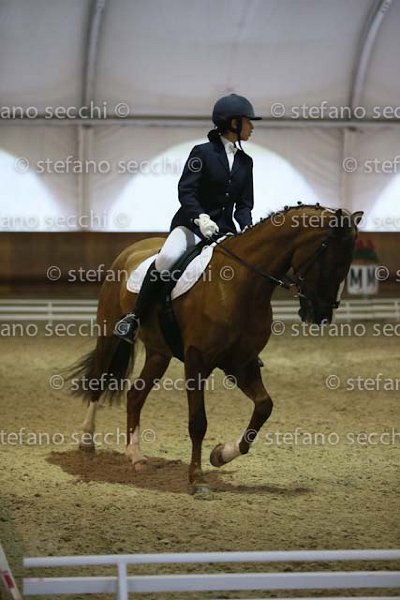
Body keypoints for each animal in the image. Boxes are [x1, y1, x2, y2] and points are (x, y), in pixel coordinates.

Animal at [66, 204, 363, 495]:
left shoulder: (241, 363)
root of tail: (132, 249)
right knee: (98, 382)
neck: (241, 284)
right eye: (332, 259)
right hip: (108, 335)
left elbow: (264, 407)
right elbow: (198, 422)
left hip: (159, 353)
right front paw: (197, 478)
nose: (322, 316)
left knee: (135, 395)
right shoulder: (197, 361)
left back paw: (136, 456)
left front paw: (221, 455)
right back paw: (87, 441)